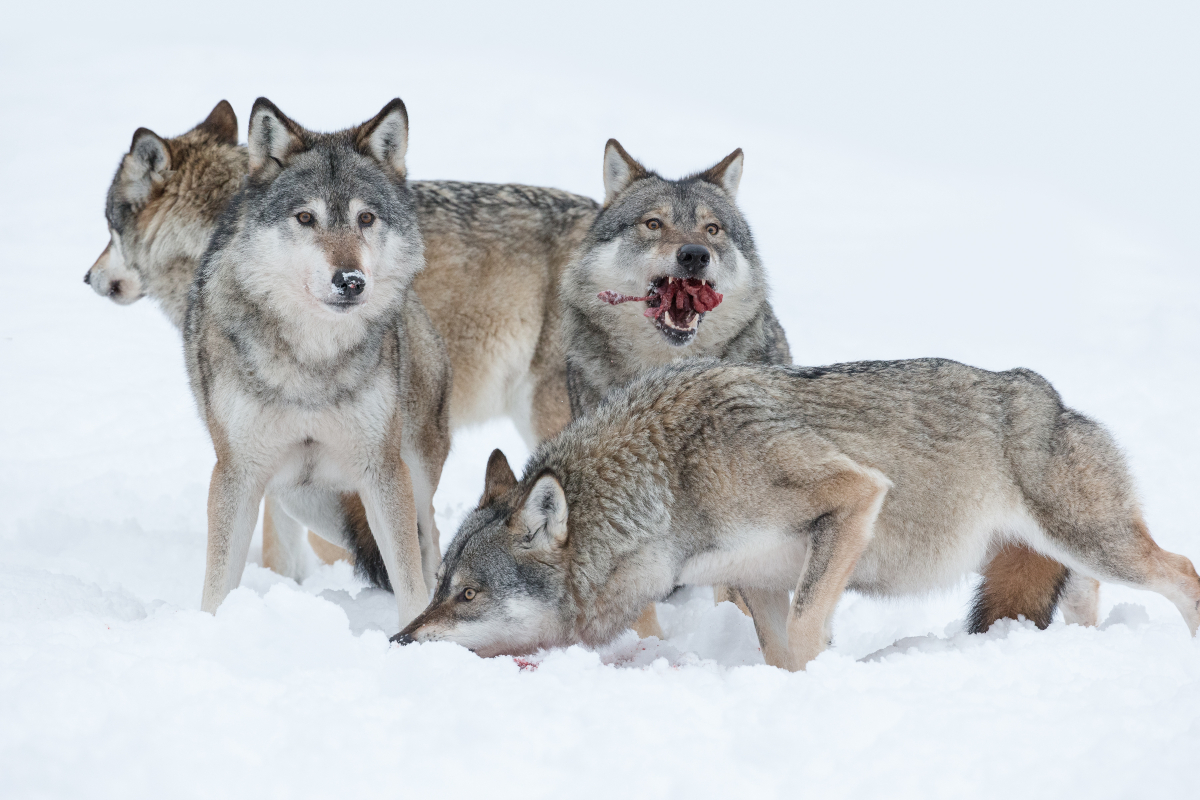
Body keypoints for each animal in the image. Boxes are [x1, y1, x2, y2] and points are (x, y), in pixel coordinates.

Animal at [184, 97, 451, 623]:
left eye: (366, 218)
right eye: (306, 218)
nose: (350, 281)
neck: (312, 360)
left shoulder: (382, 470)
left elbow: (410, 580)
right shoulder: (237, 474)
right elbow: (217, 584)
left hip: (409, 474)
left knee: (428, 541)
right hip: (303, 499)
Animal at [394, 359, 1200, 670]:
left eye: (468, 595)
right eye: (439, 588)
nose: (397, 643)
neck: (670, 485)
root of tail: (1052, 394)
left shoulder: (854, 494)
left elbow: (813, 631)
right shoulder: (758, 582)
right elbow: (780, 651)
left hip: (1094, 541)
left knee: (1184, 572)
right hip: (1058, 556)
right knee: (1087, 597)